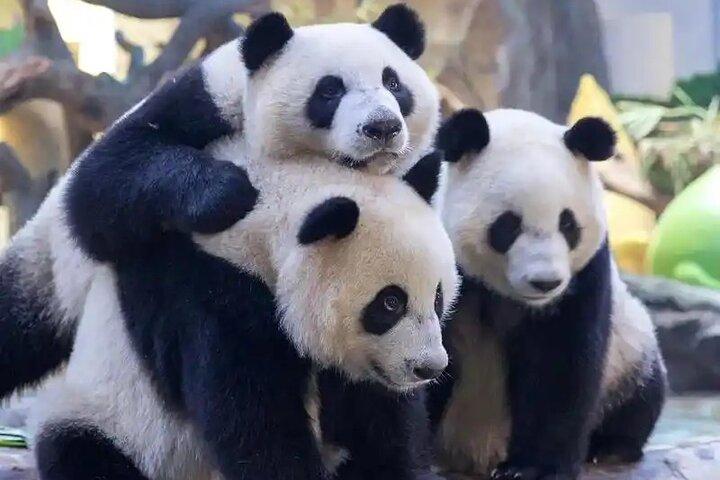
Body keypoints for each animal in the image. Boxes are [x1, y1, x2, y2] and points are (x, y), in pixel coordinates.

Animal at [0, 3, 439, 398]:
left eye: (394, 84)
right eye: (329, 90)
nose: (382, 127)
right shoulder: (203, 99)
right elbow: (102, 184)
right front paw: (227, 191)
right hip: (48, 272)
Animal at [31, 133, 458, 480]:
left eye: (438, 297)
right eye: (390, 303)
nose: (429, 367)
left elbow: (379, 421)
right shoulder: (210, 292)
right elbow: (254, 420)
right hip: (112, 420)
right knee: (84, 453)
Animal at [428, 109, 667, 480]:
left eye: (568, 224)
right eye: (508, 225)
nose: (545, 282)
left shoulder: (585, 276)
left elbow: (559, 364)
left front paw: (531, 468)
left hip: (631, 351)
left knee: (642, 393)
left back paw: (609, 447)